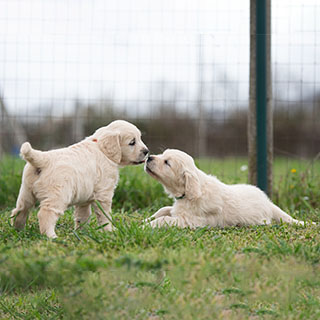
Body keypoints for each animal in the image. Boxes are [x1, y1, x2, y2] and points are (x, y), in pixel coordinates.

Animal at [11, 120, 149, 238]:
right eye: (132, 142)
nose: (146, 151)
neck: (101, 147)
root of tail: (44, 159)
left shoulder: (84, 199)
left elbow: (83, 216)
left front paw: (81, 232)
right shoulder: (104, 194)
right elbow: (104, 215)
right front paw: (109, 230)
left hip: (26, 192)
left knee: (20, 210)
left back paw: (18, 230)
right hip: (58, 195)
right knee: (45, 213)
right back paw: (51, 236)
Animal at [145, 149, 312, 229]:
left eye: (167, 163)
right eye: (162, 154)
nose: (149, 158)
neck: (188, 193)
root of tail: (269, 203)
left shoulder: (190, 221)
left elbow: (164, 219)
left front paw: (145, 226)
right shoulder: (177, 210)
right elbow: (163, 210)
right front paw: (146, 219)